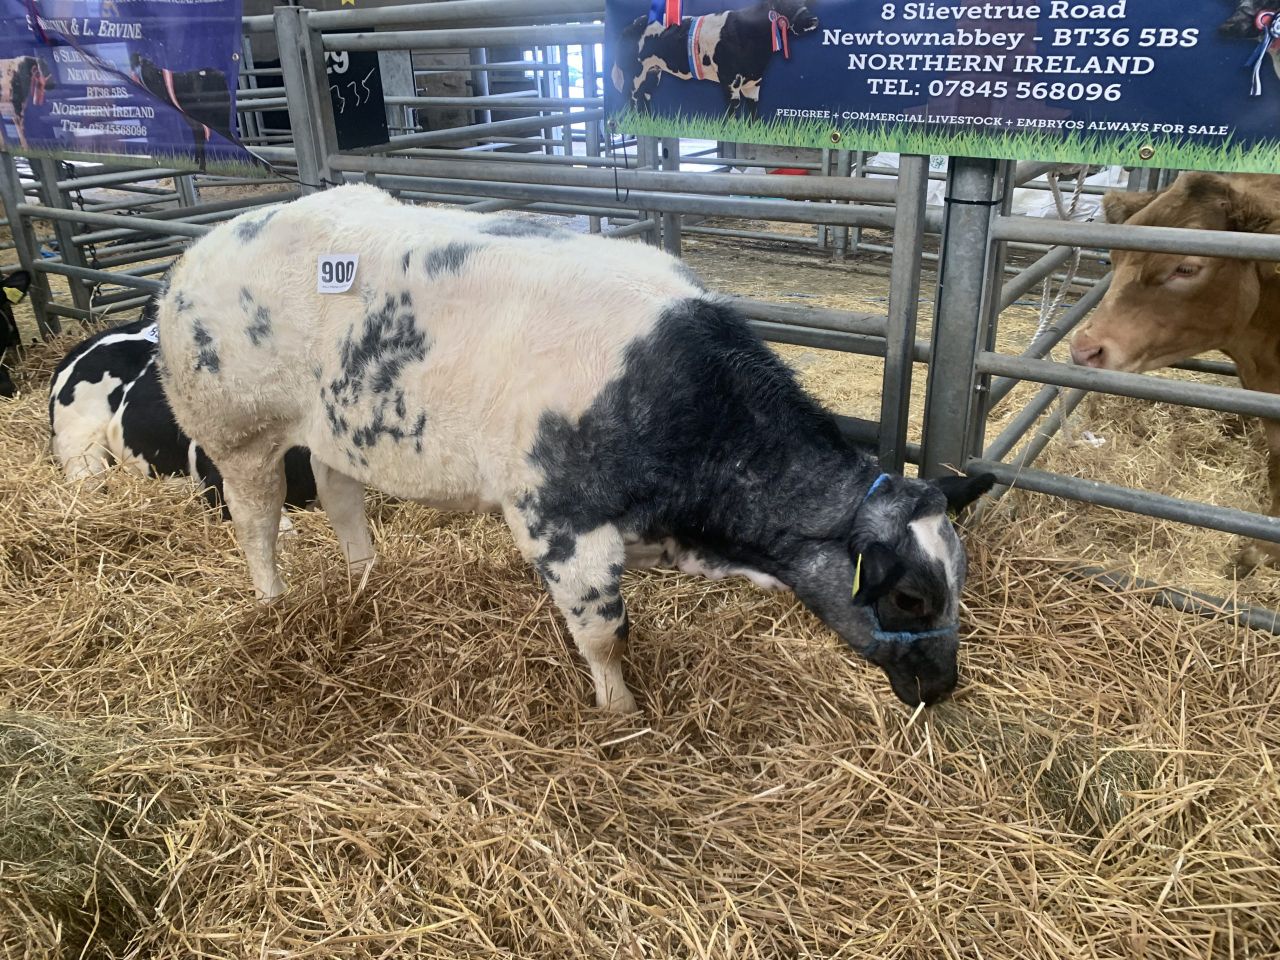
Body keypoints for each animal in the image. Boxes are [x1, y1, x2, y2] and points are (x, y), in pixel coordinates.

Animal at [155, 185, 994, 712]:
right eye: (911, 597)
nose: (944, 686)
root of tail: (206, 245)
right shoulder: (559, 520)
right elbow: (603, 633)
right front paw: (618, 713)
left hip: (336, 426)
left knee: (339, 498)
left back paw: (365, 579)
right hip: (237, 432)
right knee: (256, 523)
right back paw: (273, 601)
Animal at [611, 0, 819, 118]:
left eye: (806, 1)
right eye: (787, 3)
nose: (813, 20)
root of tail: (631, 25)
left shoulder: (755, 81)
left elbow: (753, 113)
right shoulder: (730, 79)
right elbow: (732, 110)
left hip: (654, 71)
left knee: (645, 95)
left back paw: (648, 122)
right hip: (634, 71)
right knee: (631, 96)